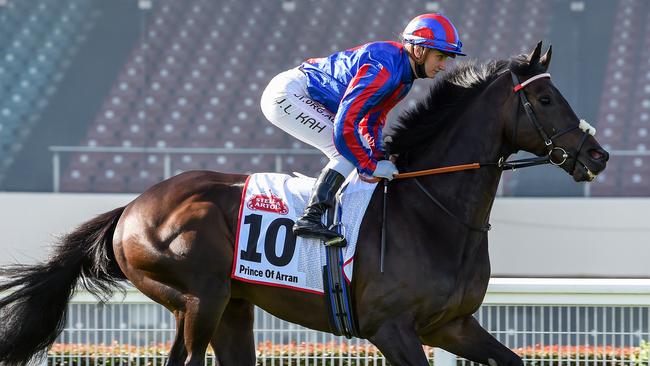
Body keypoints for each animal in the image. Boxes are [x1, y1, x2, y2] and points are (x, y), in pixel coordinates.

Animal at [0, 41, 608, 364]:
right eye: (545, 98)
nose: (598, 156)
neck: (431, 210)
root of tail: (130, 209)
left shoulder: (451, 326)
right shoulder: (393, 328)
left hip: (232, 308)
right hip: (198, 296)